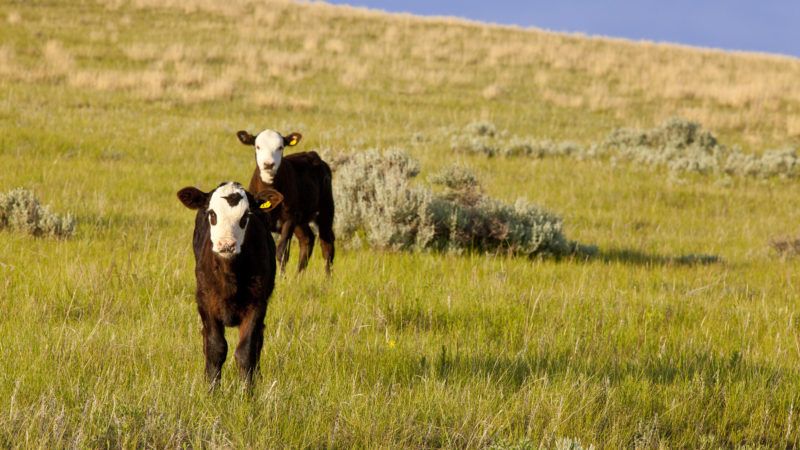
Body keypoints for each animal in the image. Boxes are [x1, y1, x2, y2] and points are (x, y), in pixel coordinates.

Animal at [178, 180, 284, 386]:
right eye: (212, 214)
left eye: (245, 216)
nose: (226, 245)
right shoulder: (205, 301)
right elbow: (215, 348)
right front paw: (212, 390)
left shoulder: (257, 304)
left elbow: (245, 352)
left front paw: (248, 391)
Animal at [238, 128, 338, 276]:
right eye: (257, 146)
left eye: (280, 147)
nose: (268, 164)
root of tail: (314, 156)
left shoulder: (289, 219)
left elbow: (282, 253)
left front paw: (281, 278)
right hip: (300, 219)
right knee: (307, 239)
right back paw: (298, 277)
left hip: (326, 208)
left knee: (326, 243)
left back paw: (327, 278)